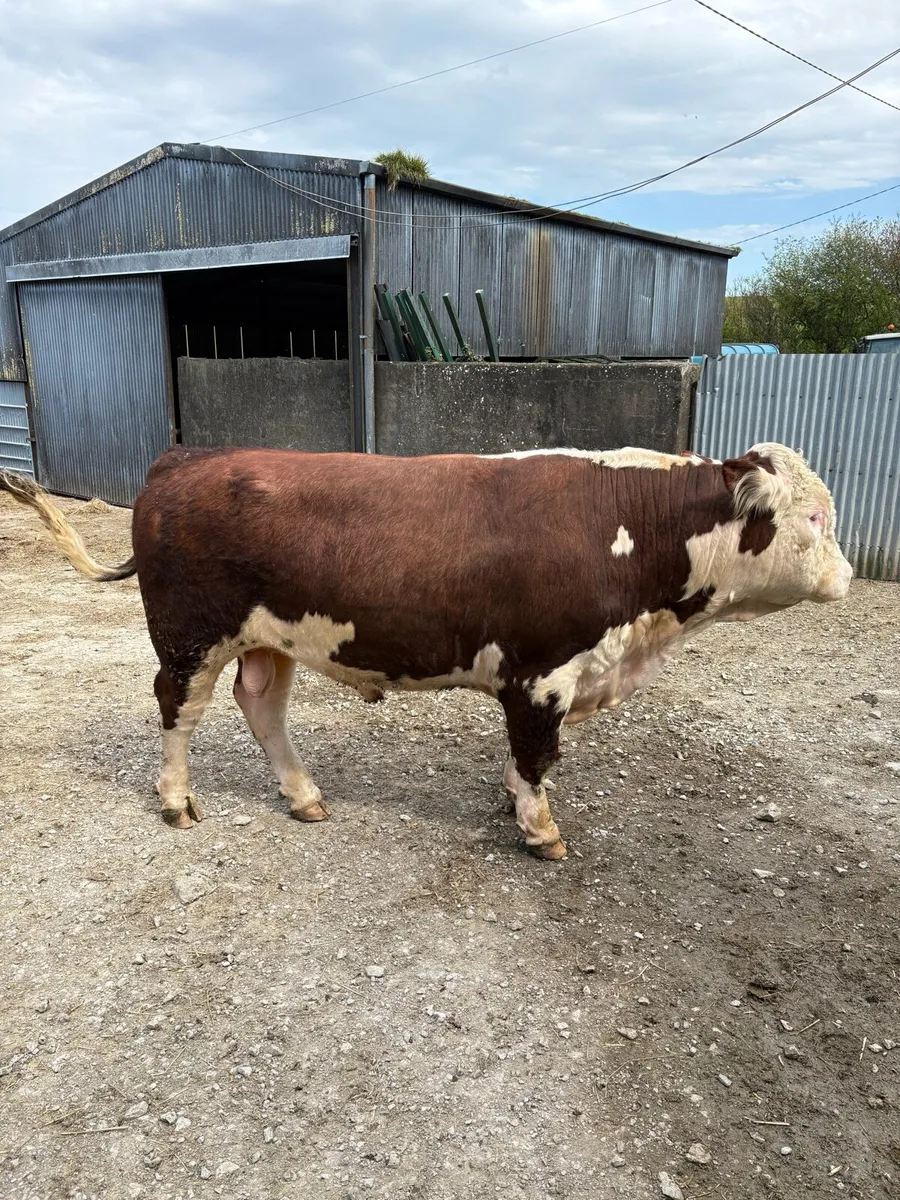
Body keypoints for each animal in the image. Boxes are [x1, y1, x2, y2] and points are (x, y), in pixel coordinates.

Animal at [0, 442, 851, 860]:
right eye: (814, 517)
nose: (845, 575)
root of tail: (185, 458)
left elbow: (523, 758)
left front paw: (514, 801)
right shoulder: (542, 674)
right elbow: (538, 754)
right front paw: (540, 829)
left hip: (270, 637)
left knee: (260, 705)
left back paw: (303, 795)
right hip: (190, 636)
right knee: (179, 708)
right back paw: (176, 799)